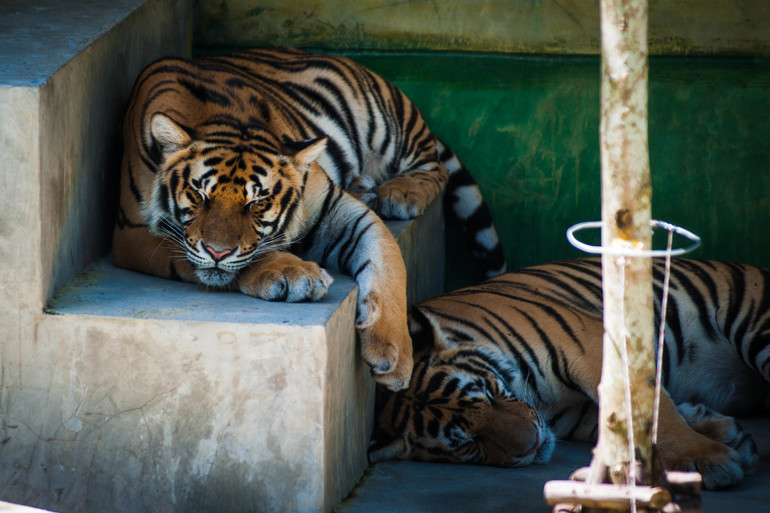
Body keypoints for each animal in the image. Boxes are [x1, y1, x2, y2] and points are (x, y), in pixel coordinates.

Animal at [112, 47, 506, 392]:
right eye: (199, 195)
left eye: (258, 202)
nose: (217, 252)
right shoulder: (133, 233)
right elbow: (247, 257)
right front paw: (295, 273)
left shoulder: (337, 208)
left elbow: (388, 262)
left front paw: (394, 356)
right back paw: (365, 186)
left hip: (386, 126)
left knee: (434, 167)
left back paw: (398, 194)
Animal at [369, 258, 767, 489]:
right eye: (468, 443)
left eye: (489, 393)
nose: (532, 443)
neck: (541, 402)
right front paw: (722, 433)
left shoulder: (593, 344)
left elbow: (649, 409)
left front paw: (706, 458)